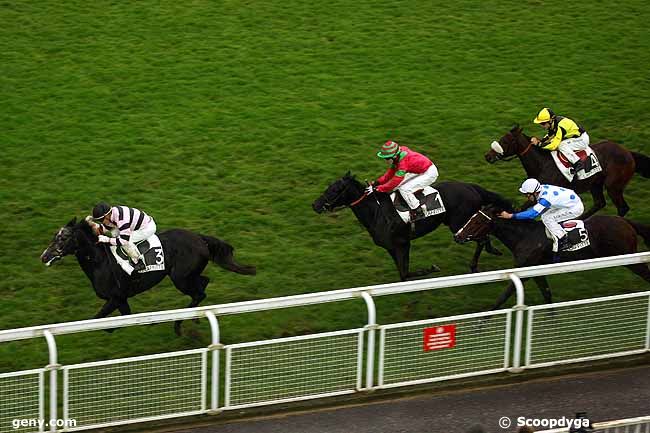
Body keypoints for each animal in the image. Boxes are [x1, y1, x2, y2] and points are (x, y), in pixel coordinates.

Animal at [41, 219, 256, 334]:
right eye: (54, 236)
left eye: (63, 238)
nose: (44, 256)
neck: (100, 261)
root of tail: (199, 238)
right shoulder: (121, 299)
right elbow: (122, 318)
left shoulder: (115, 297)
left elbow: (99, 319)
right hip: (187, 275)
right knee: (204, 283)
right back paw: (195, 318)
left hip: (180, 278)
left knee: (199, 293)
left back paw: (179, 324)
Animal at [312, 172, 512, 280]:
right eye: (328, 186)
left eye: (334, 189)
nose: (315, 205)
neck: (377, 212)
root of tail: (471, 187)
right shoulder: (391, 247)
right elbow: (403, 274)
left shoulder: (402, 243)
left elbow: (406, 273)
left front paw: (432, 268)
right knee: (483, 235)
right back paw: (490, 251)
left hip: (459, 225)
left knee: (481, 238)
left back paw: (477, 263)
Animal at [484, 125, 644, 219]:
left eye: (505, 141)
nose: (488, 156)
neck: (541, 164)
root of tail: (628, 153)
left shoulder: (542, 195)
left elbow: (520, 209)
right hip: (595, 184)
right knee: (599, 203)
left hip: (613, 187)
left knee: (622, 208)